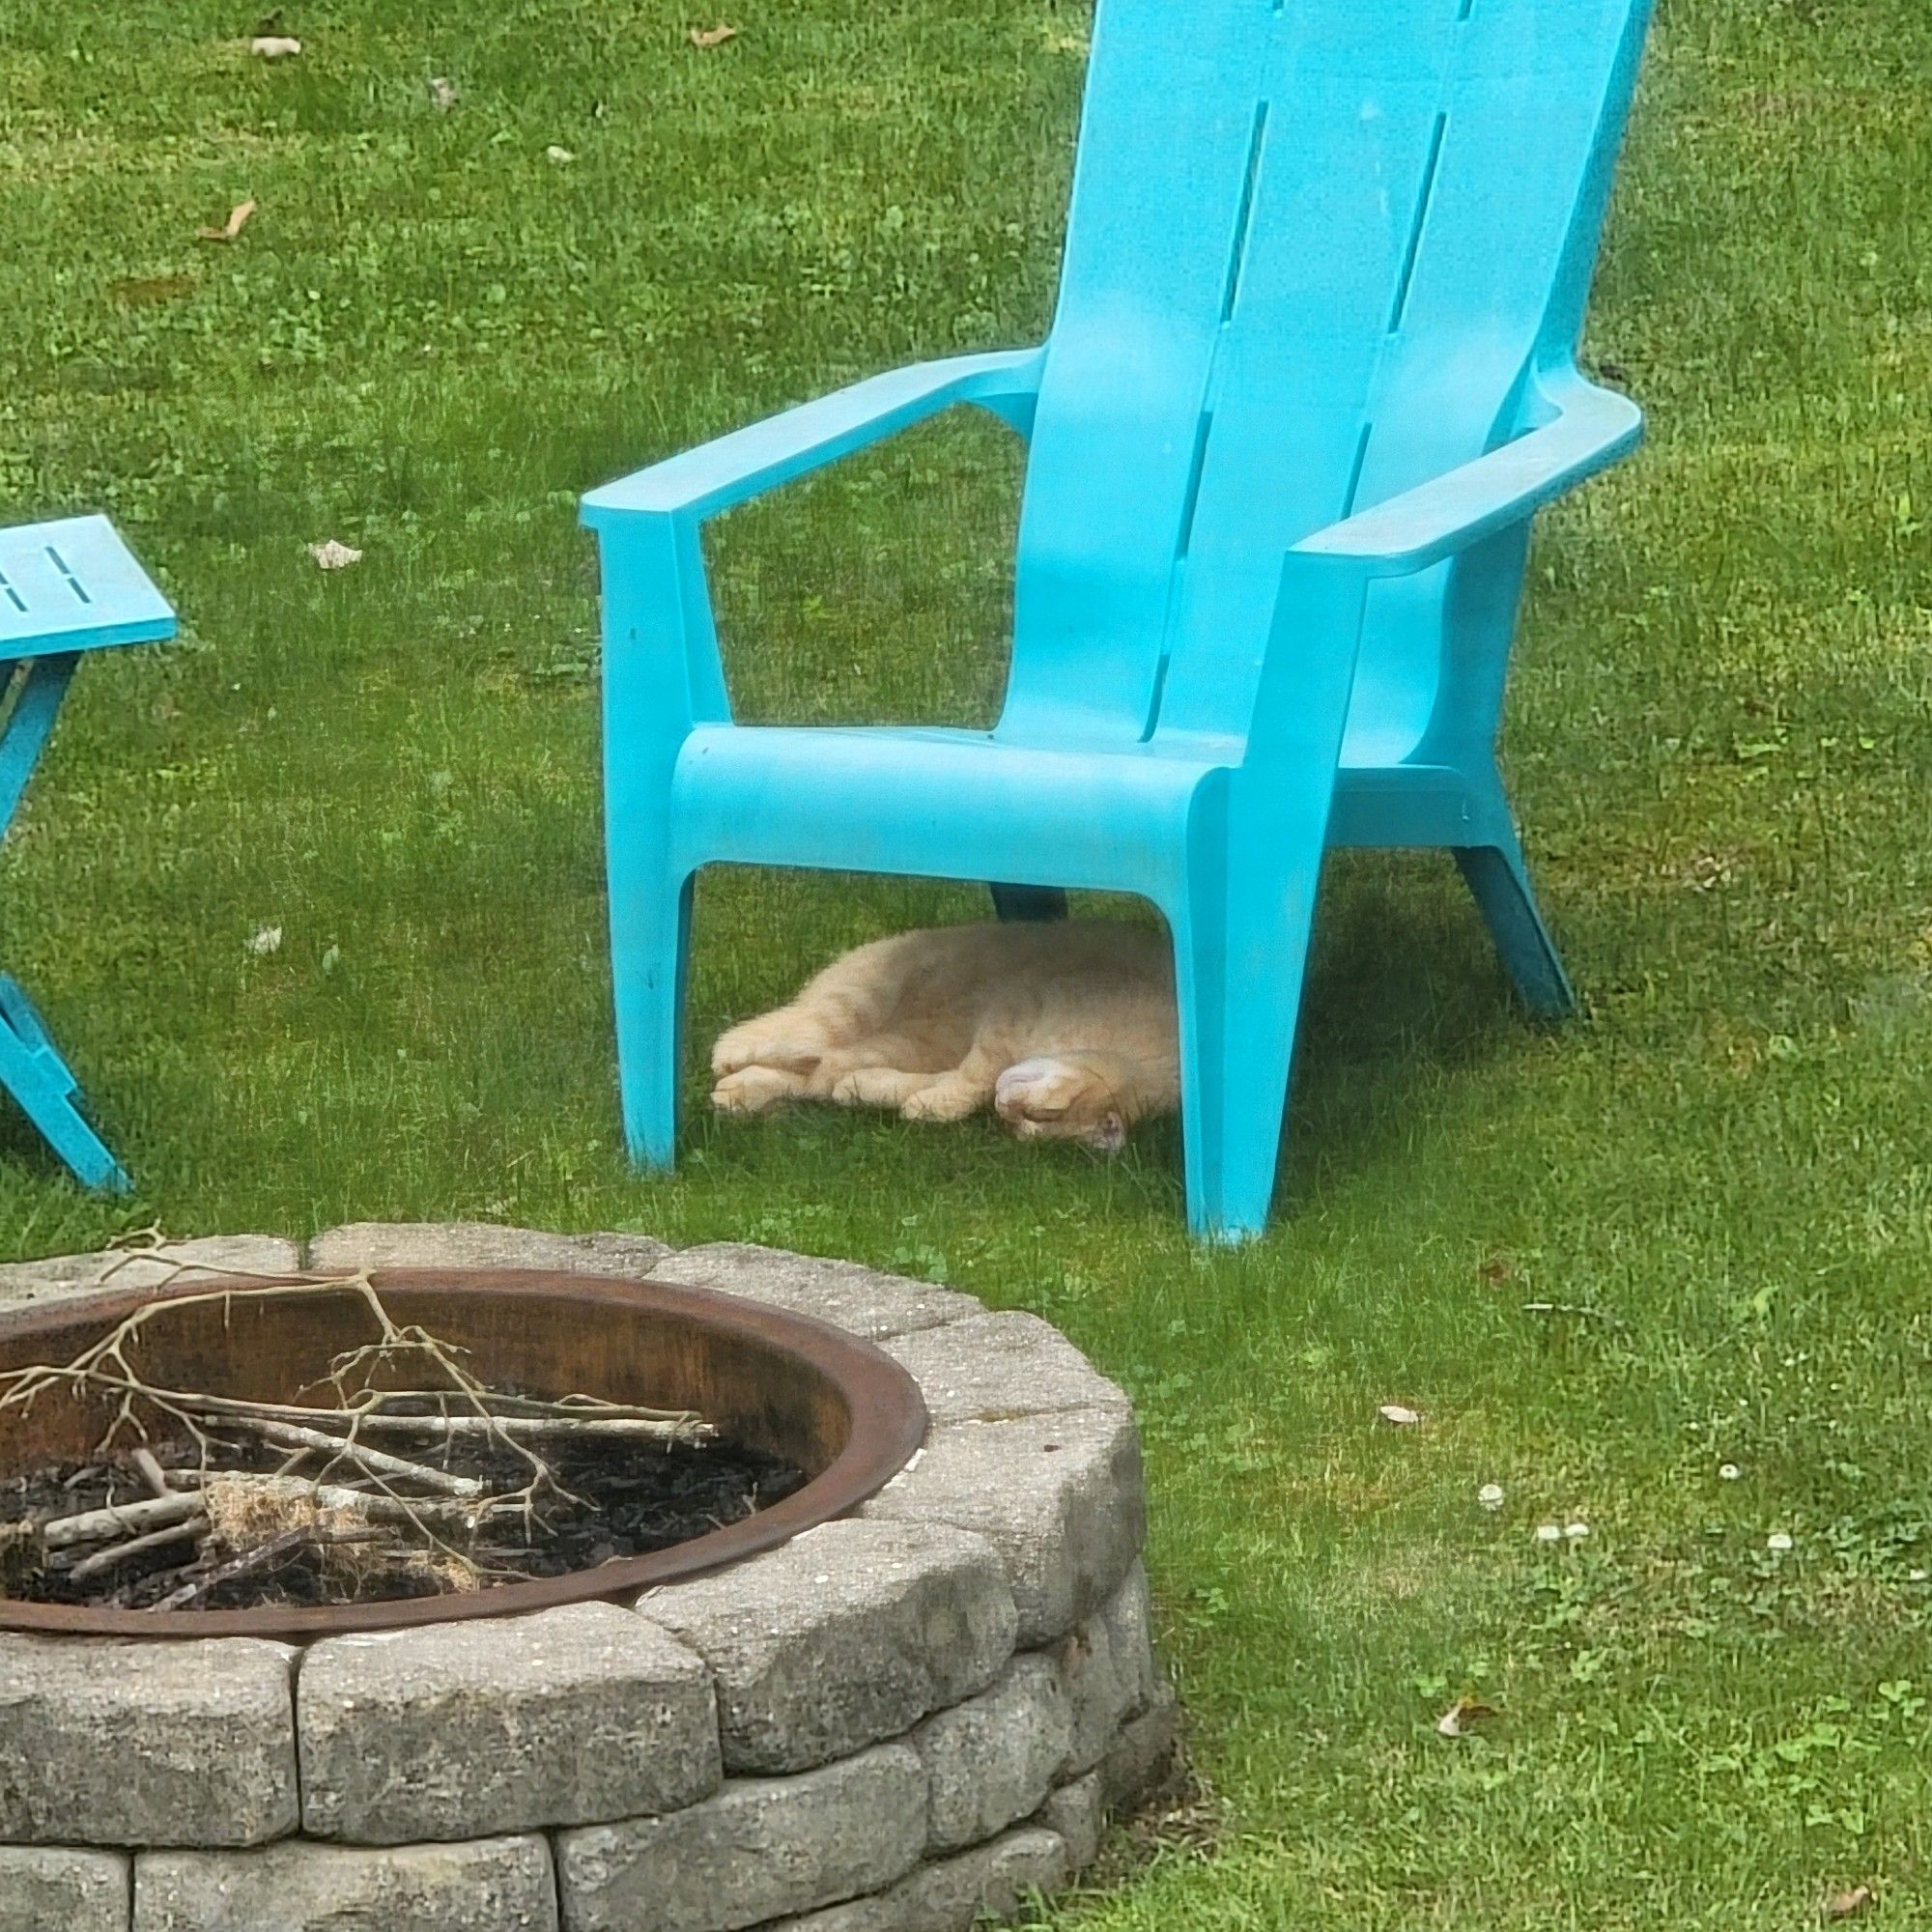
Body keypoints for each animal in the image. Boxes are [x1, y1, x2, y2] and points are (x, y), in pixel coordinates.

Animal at [715, 920, 1175, 1144]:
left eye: (1027, 1127)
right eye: (1041, 1113)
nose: (1007, 1109)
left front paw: (878, 1093)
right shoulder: (1010, 1015)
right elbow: (974, 1080)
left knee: (809, 1062)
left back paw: (738, 1093)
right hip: (861, 1001)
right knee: (791, 1036)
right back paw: (731, 1061)